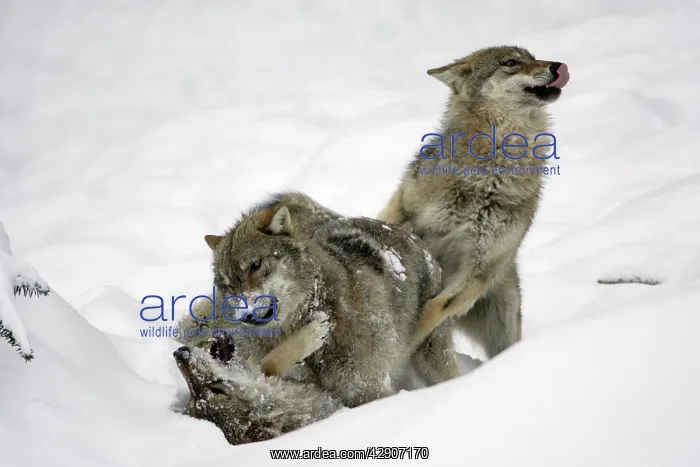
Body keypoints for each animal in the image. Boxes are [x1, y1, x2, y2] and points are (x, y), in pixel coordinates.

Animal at [377, 46, 569, 357]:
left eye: (533, 57)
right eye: (511, 62)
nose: (558, 65)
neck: (490, 176)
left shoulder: (481, 267)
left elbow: (434, 308)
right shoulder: (404, 212)